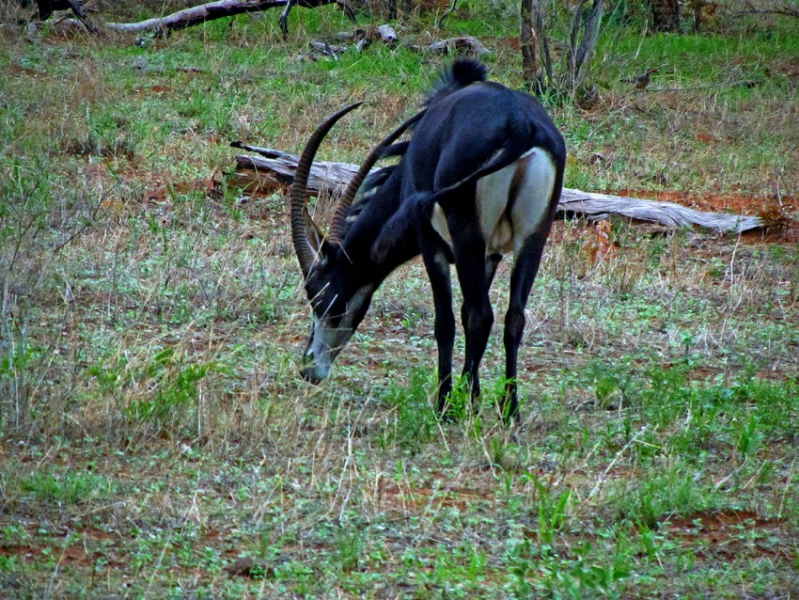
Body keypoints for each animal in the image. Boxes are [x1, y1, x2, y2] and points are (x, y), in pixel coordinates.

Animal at [290, 58, 564, 420]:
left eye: (320, 296)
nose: (310, 369)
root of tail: (520, 126)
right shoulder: (490, 254)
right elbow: (469, 317)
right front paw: (472, 395)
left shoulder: (430, 241)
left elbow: (446, 321)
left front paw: (450, 401)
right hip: (533, 238)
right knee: (512, 317)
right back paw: (510, 411)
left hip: (466, 234)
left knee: (480, 314)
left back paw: (454, 406)